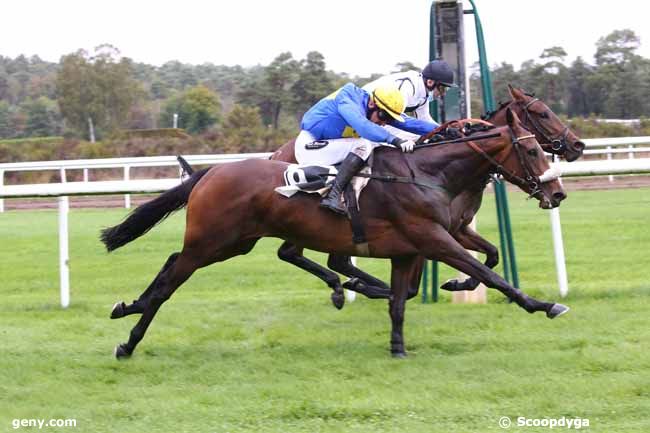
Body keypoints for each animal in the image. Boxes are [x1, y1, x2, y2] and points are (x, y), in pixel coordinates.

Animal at [104, 108, 564, 358]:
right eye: (533, 148)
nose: (557, 191)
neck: (427, 174)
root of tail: (212, 171)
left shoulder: (411, 249)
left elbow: (402, 301)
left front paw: (397, 346)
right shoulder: (435, 239)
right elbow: (489, 273)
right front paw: (543, 305)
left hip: (230, 243)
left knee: (171, 263)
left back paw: (126, 308)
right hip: (212, 243)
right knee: (170, 285)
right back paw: (127, 343)